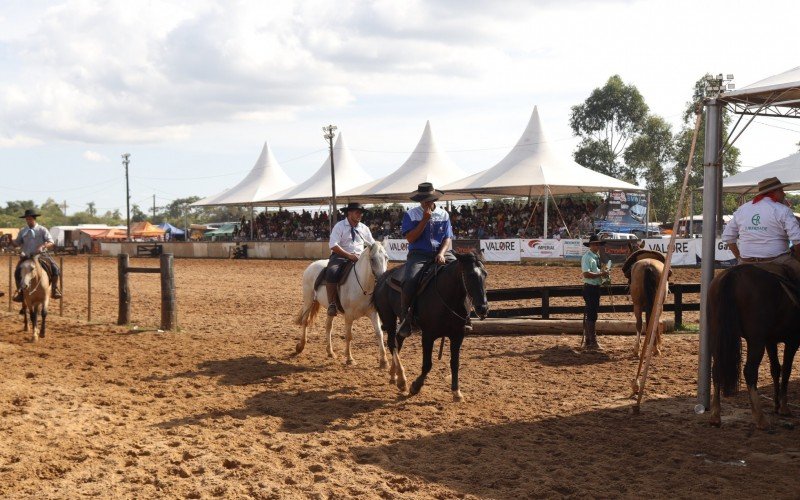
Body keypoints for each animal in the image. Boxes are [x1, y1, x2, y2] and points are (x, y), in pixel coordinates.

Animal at [374, 252, 488, 400]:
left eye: (485, 274)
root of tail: (384, 278)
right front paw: (415, 386)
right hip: (388, 318)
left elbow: (455, 363)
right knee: (392, 343)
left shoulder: (458, 336)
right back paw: (402, 380)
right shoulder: (428, 335)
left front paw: (456, 392)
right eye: (469, 275)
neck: (448, 297)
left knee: (398, 340)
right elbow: (427, 364)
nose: (483, 308)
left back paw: (395, 375)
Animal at [708, 262, 800, 430]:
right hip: (756, 341)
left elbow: (776, 369)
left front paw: (777, 405)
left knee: (716, 369)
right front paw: (784, 407)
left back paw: (715, 416)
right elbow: (786, 370)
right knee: (750, 371)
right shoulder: (792, 340)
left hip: (717, 336)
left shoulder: (770, 340)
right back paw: (760, 418)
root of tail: (733, 273)